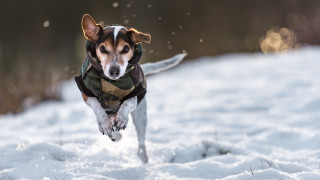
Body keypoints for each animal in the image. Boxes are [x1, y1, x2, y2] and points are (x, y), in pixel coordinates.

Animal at [75, 14, 186, 163]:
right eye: (103, 49)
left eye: (125, 49)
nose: (114, 71)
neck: (111, 82)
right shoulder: (86, 92)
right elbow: (97, 105)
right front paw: (104, 123)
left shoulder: (137, 92)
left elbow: (128, 102)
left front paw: (122, 117)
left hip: (140, 115)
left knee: (140, 139)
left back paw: (142, 155)